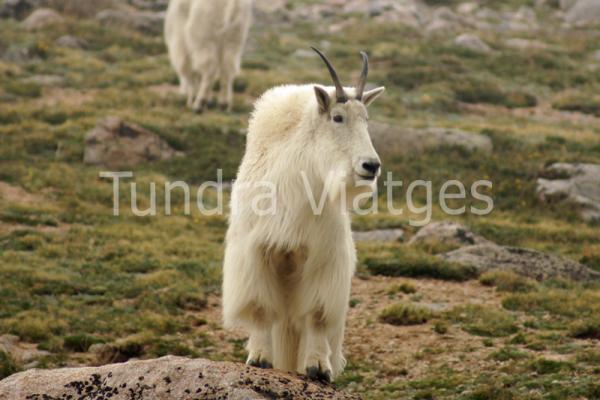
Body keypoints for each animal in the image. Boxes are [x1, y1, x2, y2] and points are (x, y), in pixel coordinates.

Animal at [221, 47, 384, 382]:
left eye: (366, 118)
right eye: (337, 117)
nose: (370, 166)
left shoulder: (323, 257)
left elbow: (317, 315)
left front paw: (318, 367)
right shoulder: (257, 252)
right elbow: (260, 309)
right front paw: (259, 358)